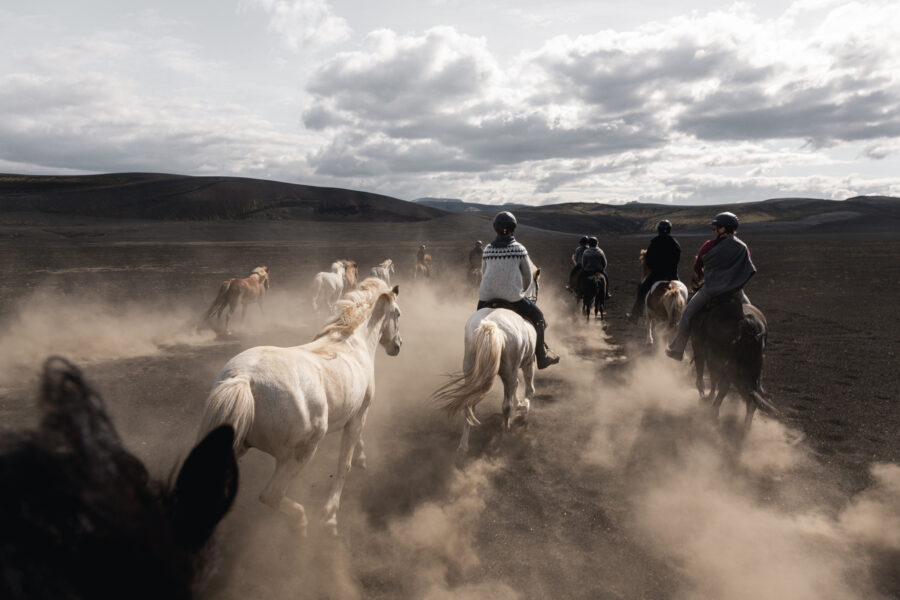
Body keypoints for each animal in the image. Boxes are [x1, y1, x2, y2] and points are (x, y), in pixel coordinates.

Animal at [202, 276, 406, 536]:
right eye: (397, 313)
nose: (397, 346)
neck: (352, 342)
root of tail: (244, 379)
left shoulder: (355, 415)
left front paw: (361, 458)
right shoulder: (360, 412)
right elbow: (344, 464)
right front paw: (330, 517)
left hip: (236, 447)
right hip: (299, 454)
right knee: (271, 495)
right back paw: (302, 523)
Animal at [430, 260, 540, 458]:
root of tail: (492, 326)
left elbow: (517, 388)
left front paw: (520, 404)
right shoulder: (528, 363)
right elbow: (529, 388)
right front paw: (524, 407)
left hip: (472, 370)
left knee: (469, 404)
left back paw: (463, 445)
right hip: (510, 369)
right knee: (505, 405)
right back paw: (505, 433)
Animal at [692, 292, 776, 436]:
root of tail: (747, 322)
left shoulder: (705, 352)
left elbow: (712, 378)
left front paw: (706, 396)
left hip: (725, 362)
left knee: (728, 387)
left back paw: (714, 412)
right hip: (749, 367)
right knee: (750, 397)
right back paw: (744, 427)